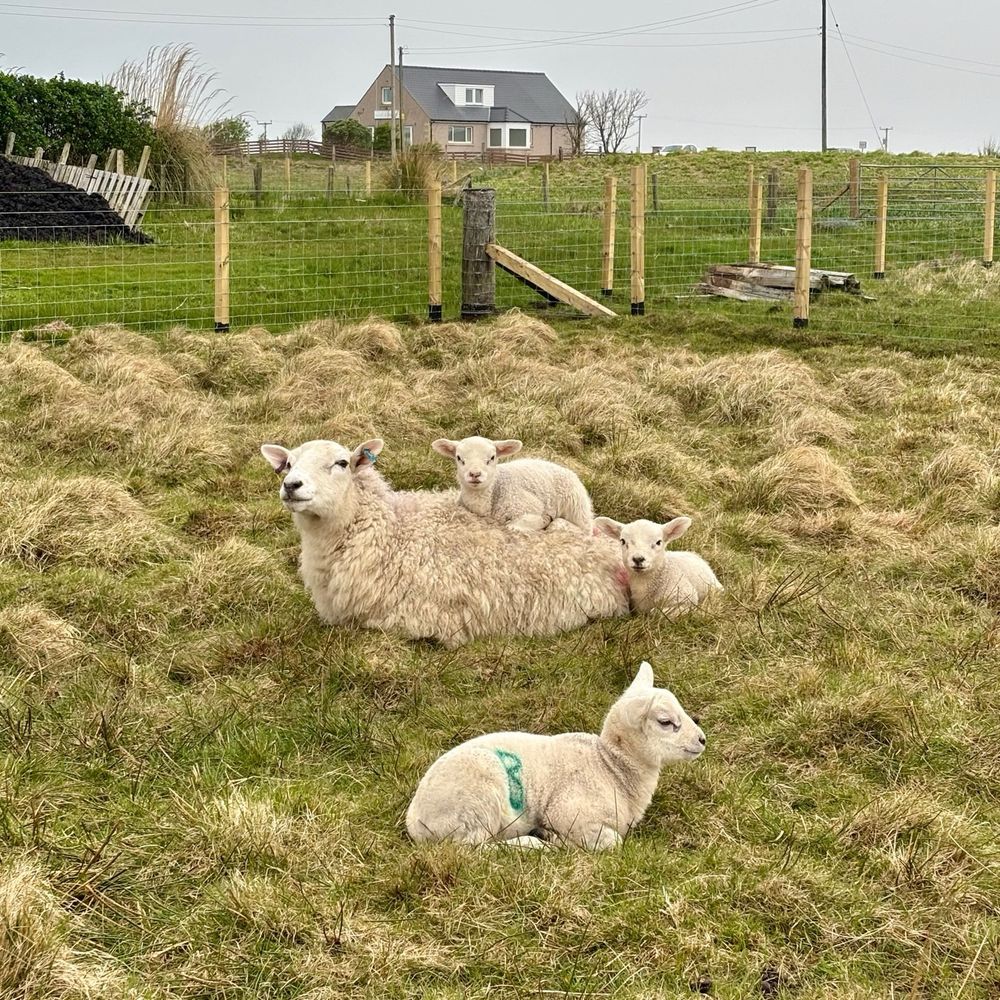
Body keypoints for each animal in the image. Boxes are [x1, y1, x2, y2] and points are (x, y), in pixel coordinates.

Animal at [406, 660, 706, 850]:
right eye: (665, 722)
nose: (702, 740)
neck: (611, 767)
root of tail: (416, 822)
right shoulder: (570, 812)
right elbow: (612, 843)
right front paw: (556, 839)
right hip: (478, 801)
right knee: (472, 849)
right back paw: (531, 844)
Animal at [430, 436, 593, 533]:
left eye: (492, 457)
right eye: (459, 458)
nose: (475, 474)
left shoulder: (529, 506)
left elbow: (514, 526)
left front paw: (544, 521)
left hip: (577, 509)